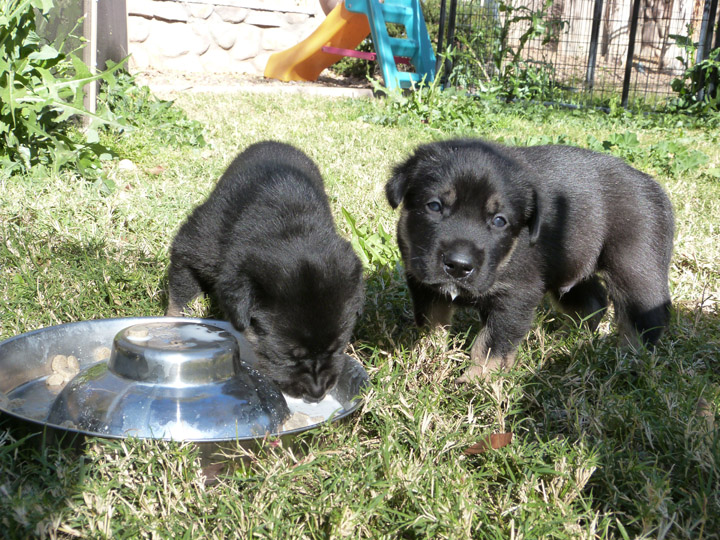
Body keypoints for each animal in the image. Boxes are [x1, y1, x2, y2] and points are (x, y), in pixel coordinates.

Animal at [166, 141, 362, 402]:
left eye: (338, 348)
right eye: (287, 355)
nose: (317, 393)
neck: (286, 224)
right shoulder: (191, 248)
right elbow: (180, 299)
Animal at [388, 139, 676, 384]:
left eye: (499, 220)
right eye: (434, 206)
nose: (459, 266)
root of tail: (654, 188)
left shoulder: (516, 296)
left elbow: (490, 344)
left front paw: (476, 381)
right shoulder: (422, 280)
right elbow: (432, 323)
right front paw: (429, 353)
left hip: (635, 267)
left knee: (645, 318)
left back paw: (629, 361)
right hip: (568, 267)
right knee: (593, 300)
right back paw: (568, 338)